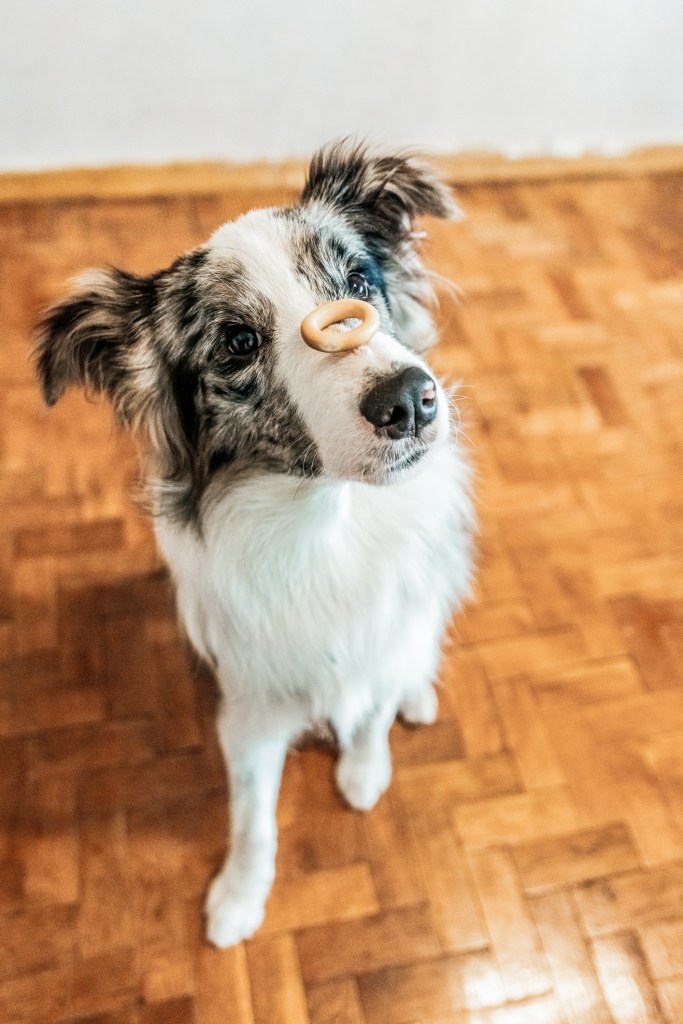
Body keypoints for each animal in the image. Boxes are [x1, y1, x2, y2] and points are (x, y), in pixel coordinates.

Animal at [34, 140, 475, 946]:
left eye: (359, 283)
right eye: (238, 342)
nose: (409, 399)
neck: (328, 523)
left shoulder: (382, 631)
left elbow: (370, 710)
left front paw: (363, 770)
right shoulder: (251, 705)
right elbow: (251, 817)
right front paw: (238, 898)